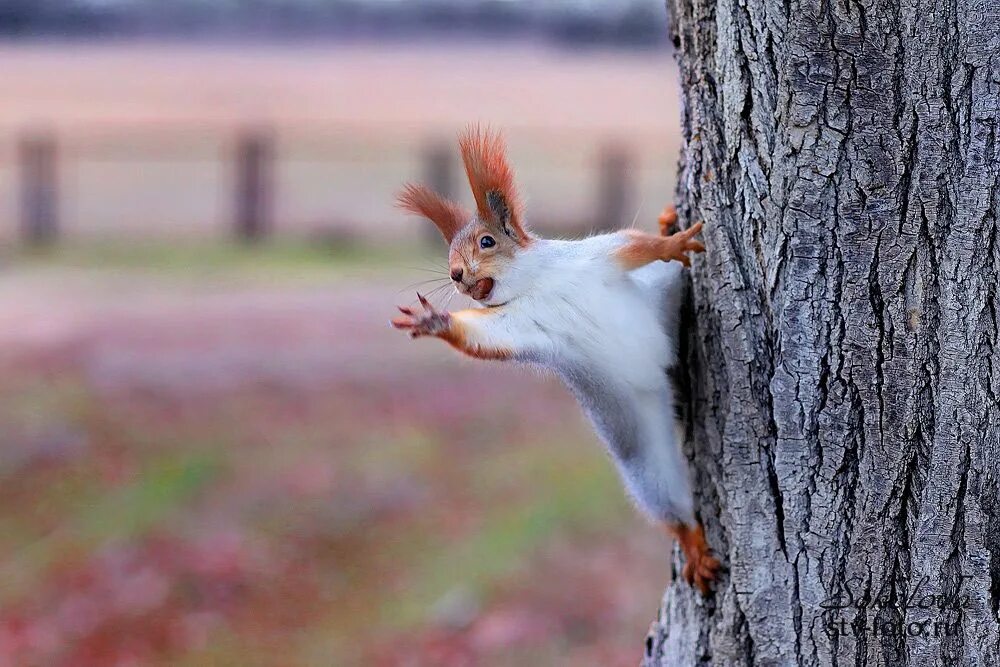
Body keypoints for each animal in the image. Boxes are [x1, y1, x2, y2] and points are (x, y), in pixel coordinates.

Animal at [388, 126, 720, 596]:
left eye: (487, 241)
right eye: (450, 254)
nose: (455, 276)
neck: (536, 285)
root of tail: (662, 378)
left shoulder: (593, 256)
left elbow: (637, 245)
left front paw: (671, 240)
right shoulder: (519, 324)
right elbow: (487, 339)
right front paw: (436, 321)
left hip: (663, 290)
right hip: (638, 449)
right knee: (666, 502)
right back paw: (691, 542)